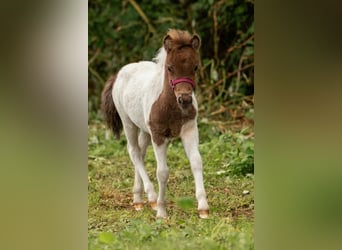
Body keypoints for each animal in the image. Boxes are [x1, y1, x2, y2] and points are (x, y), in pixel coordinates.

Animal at [100, 29, 210, 218]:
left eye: (195, 66)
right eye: (170, 67)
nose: (185, 100)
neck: (170, 105)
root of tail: (119, 73)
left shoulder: (189, 129)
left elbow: (196, 162)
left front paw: (203, 208)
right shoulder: (158, 135)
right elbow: (162, 172)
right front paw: (161, 211)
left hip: (144, 129)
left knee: (141, 152)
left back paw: (138, 198)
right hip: (128, 122)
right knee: (134, 152)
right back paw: (150, 197)